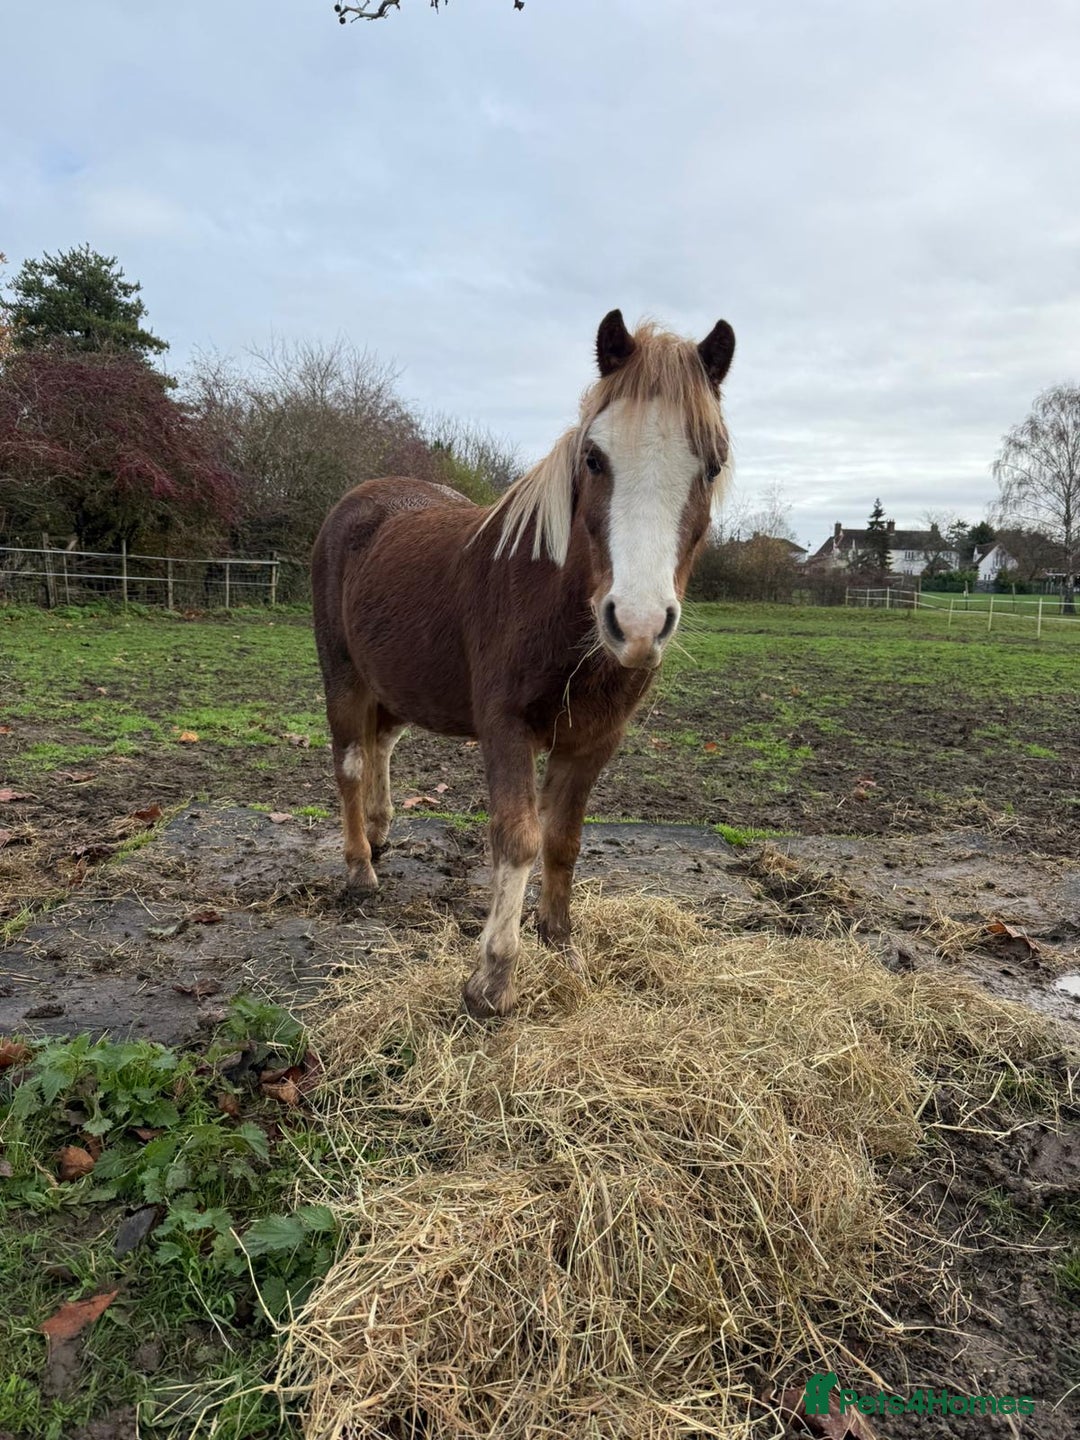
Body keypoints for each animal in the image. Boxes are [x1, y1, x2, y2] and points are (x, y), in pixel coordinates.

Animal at [312, 309, 735, 1018]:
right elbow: (519, 838)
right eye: (594, 457)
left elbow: (564, 839)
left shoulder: (594, 740)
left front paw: (559, 943)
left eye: (711, 465)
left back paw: (379, 833)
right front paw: (493, 979)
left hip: (393, 685)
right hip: (342, 674)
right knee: (348, 763)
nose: (638, 623)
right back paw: (360, 871)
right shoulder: (505, 728)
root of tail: (359, 500)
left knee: (381, 747)